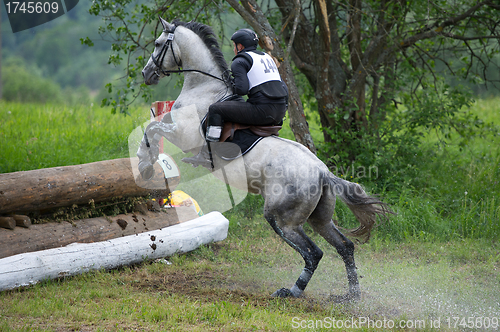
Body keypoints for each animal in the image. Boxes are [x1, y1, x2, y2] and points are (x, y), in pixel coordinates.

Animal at [139, 18, 392, 300]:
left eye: (158, 44)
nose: (146, 73)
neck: (204, 87)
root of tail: (322, 172)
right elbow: (152, 126)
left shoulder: (183, 134)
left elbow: (152, 128)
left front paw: (144, 164)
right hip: (319, 218)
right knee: (345, 247)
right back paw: (350, 296)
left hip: (281, 217)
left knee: (313, 253)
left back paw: (291, 291)